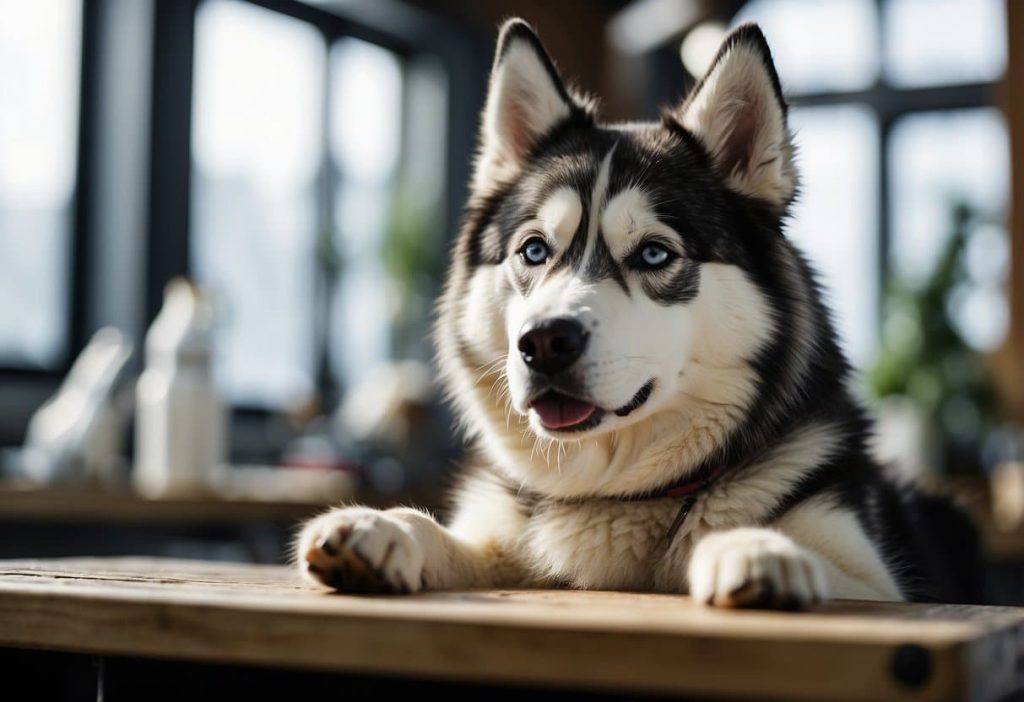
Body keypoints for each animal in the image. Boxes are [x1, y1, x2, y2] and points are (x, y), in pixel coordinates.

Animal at [294, 19, 974, 605]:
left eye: (653, 253)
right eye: (534, 250)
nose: (544, 342)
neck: (618, 491)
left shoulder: (876, 582)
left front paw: (756, 548)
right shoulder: (506, 538)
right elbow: (453, 537)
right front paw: (385, 527)